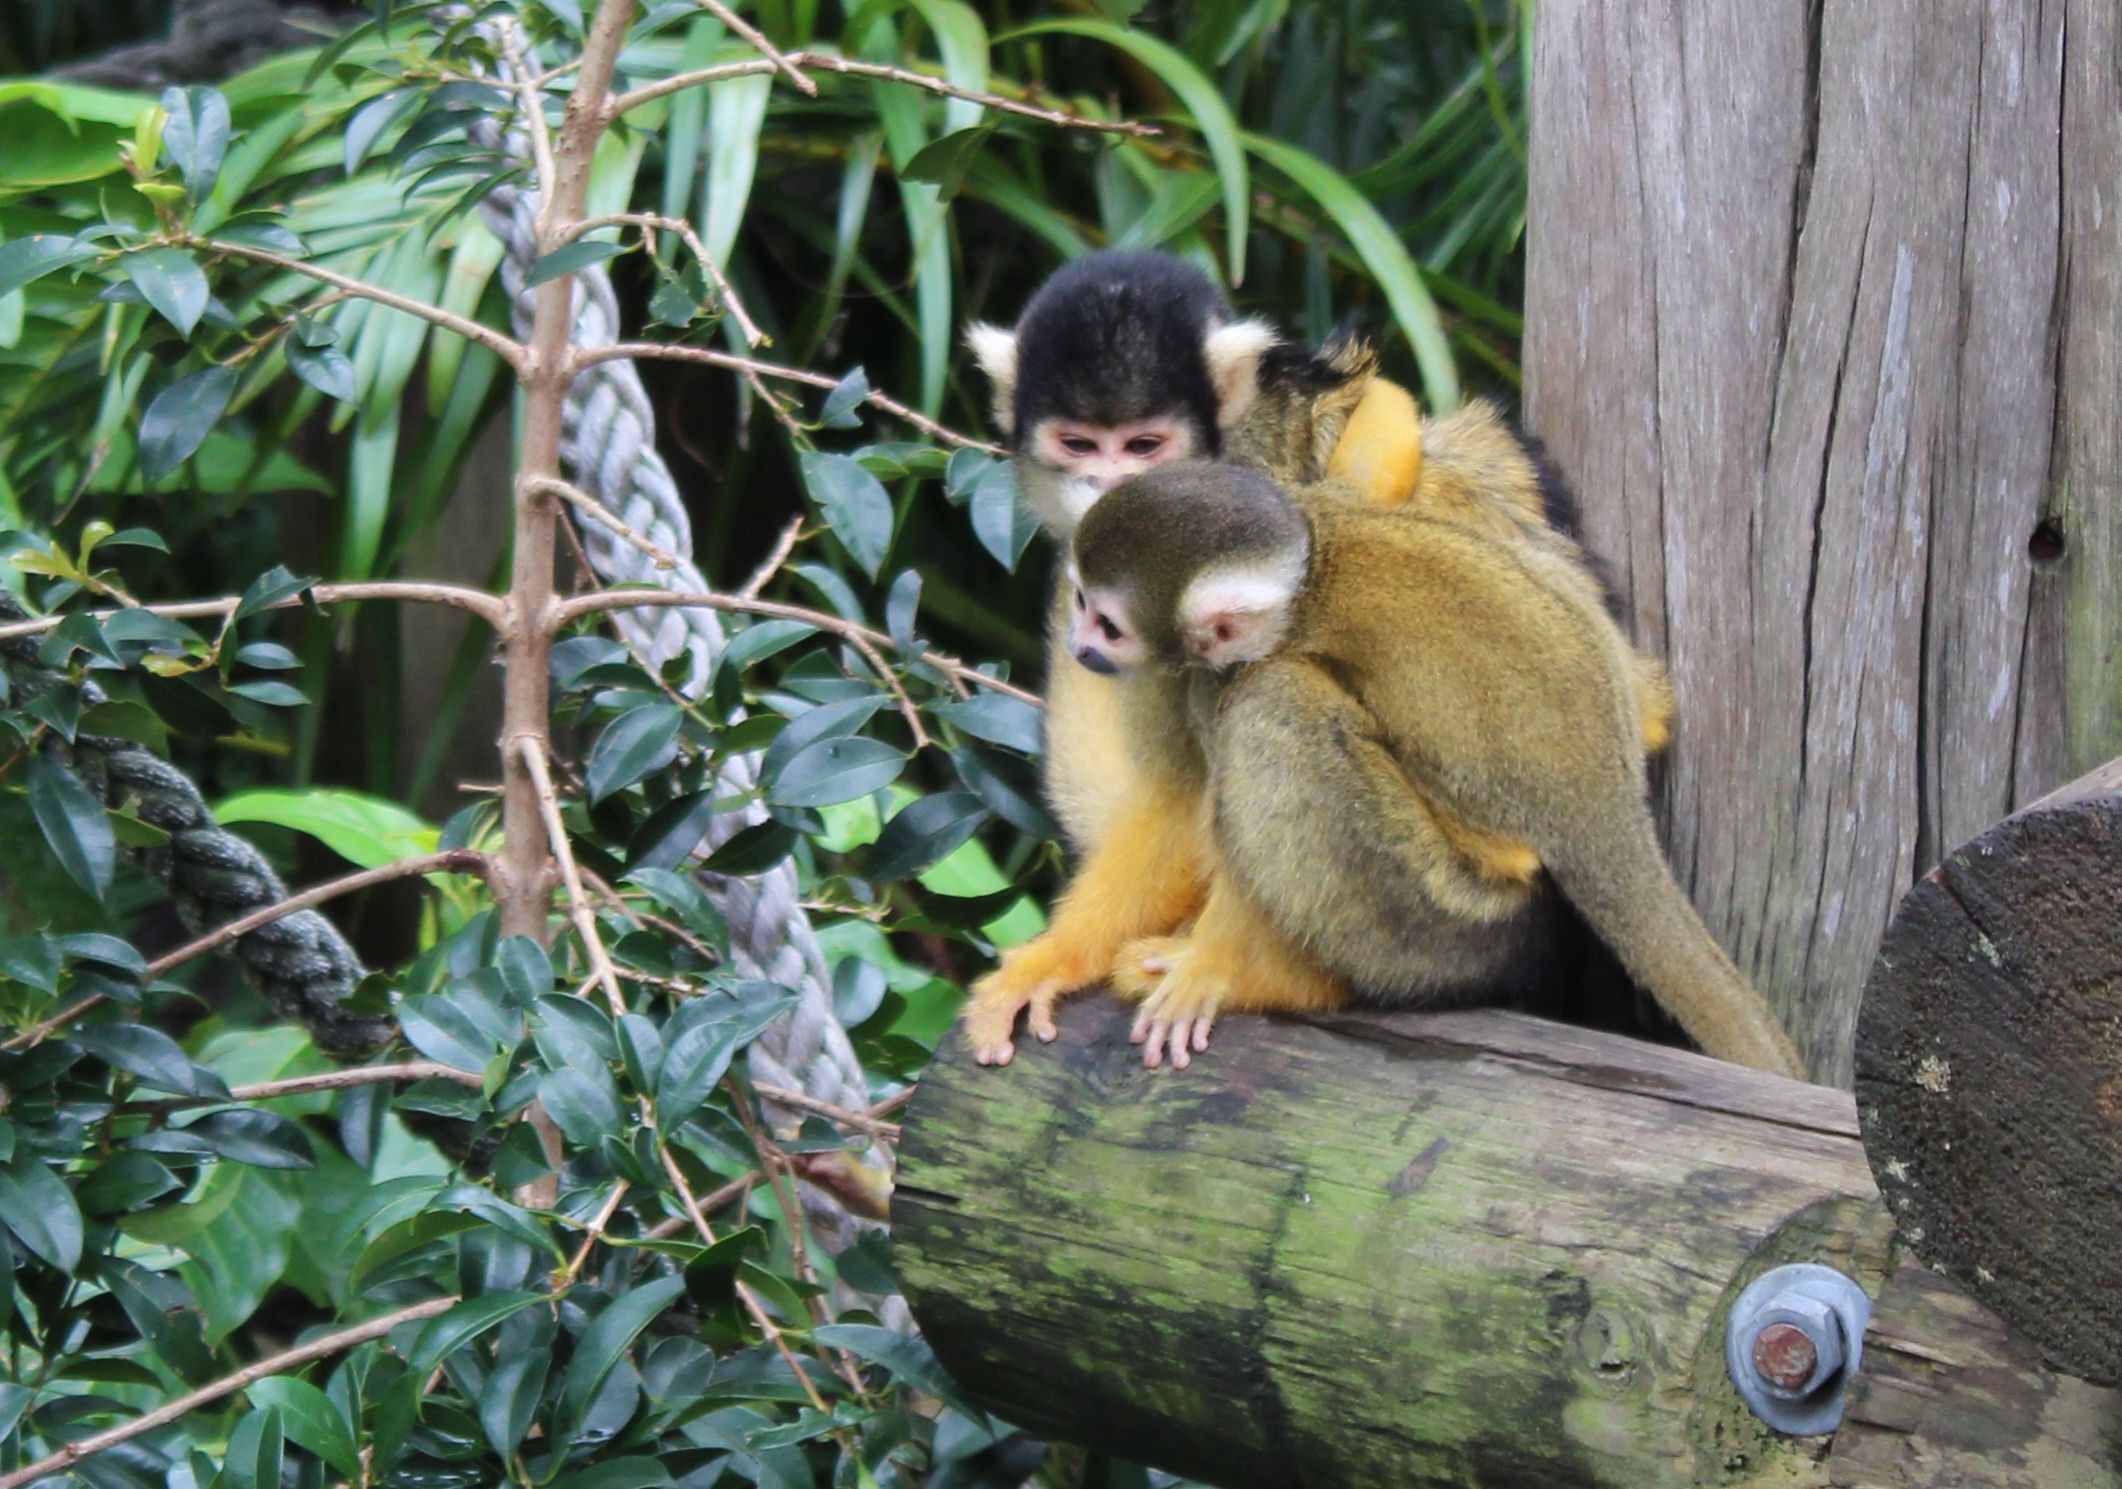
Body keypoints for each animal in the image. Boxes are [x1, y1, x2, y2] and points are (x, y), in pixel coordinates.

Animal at [1069, 466, 1799, 1085]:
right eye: (1076, 600)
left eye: (1109, 625)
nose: (1079, 647)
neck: (1311, 570)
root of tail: (1604, 801)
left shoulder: (1225, 668)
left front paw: (1210, 966)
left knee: (1278, 700)